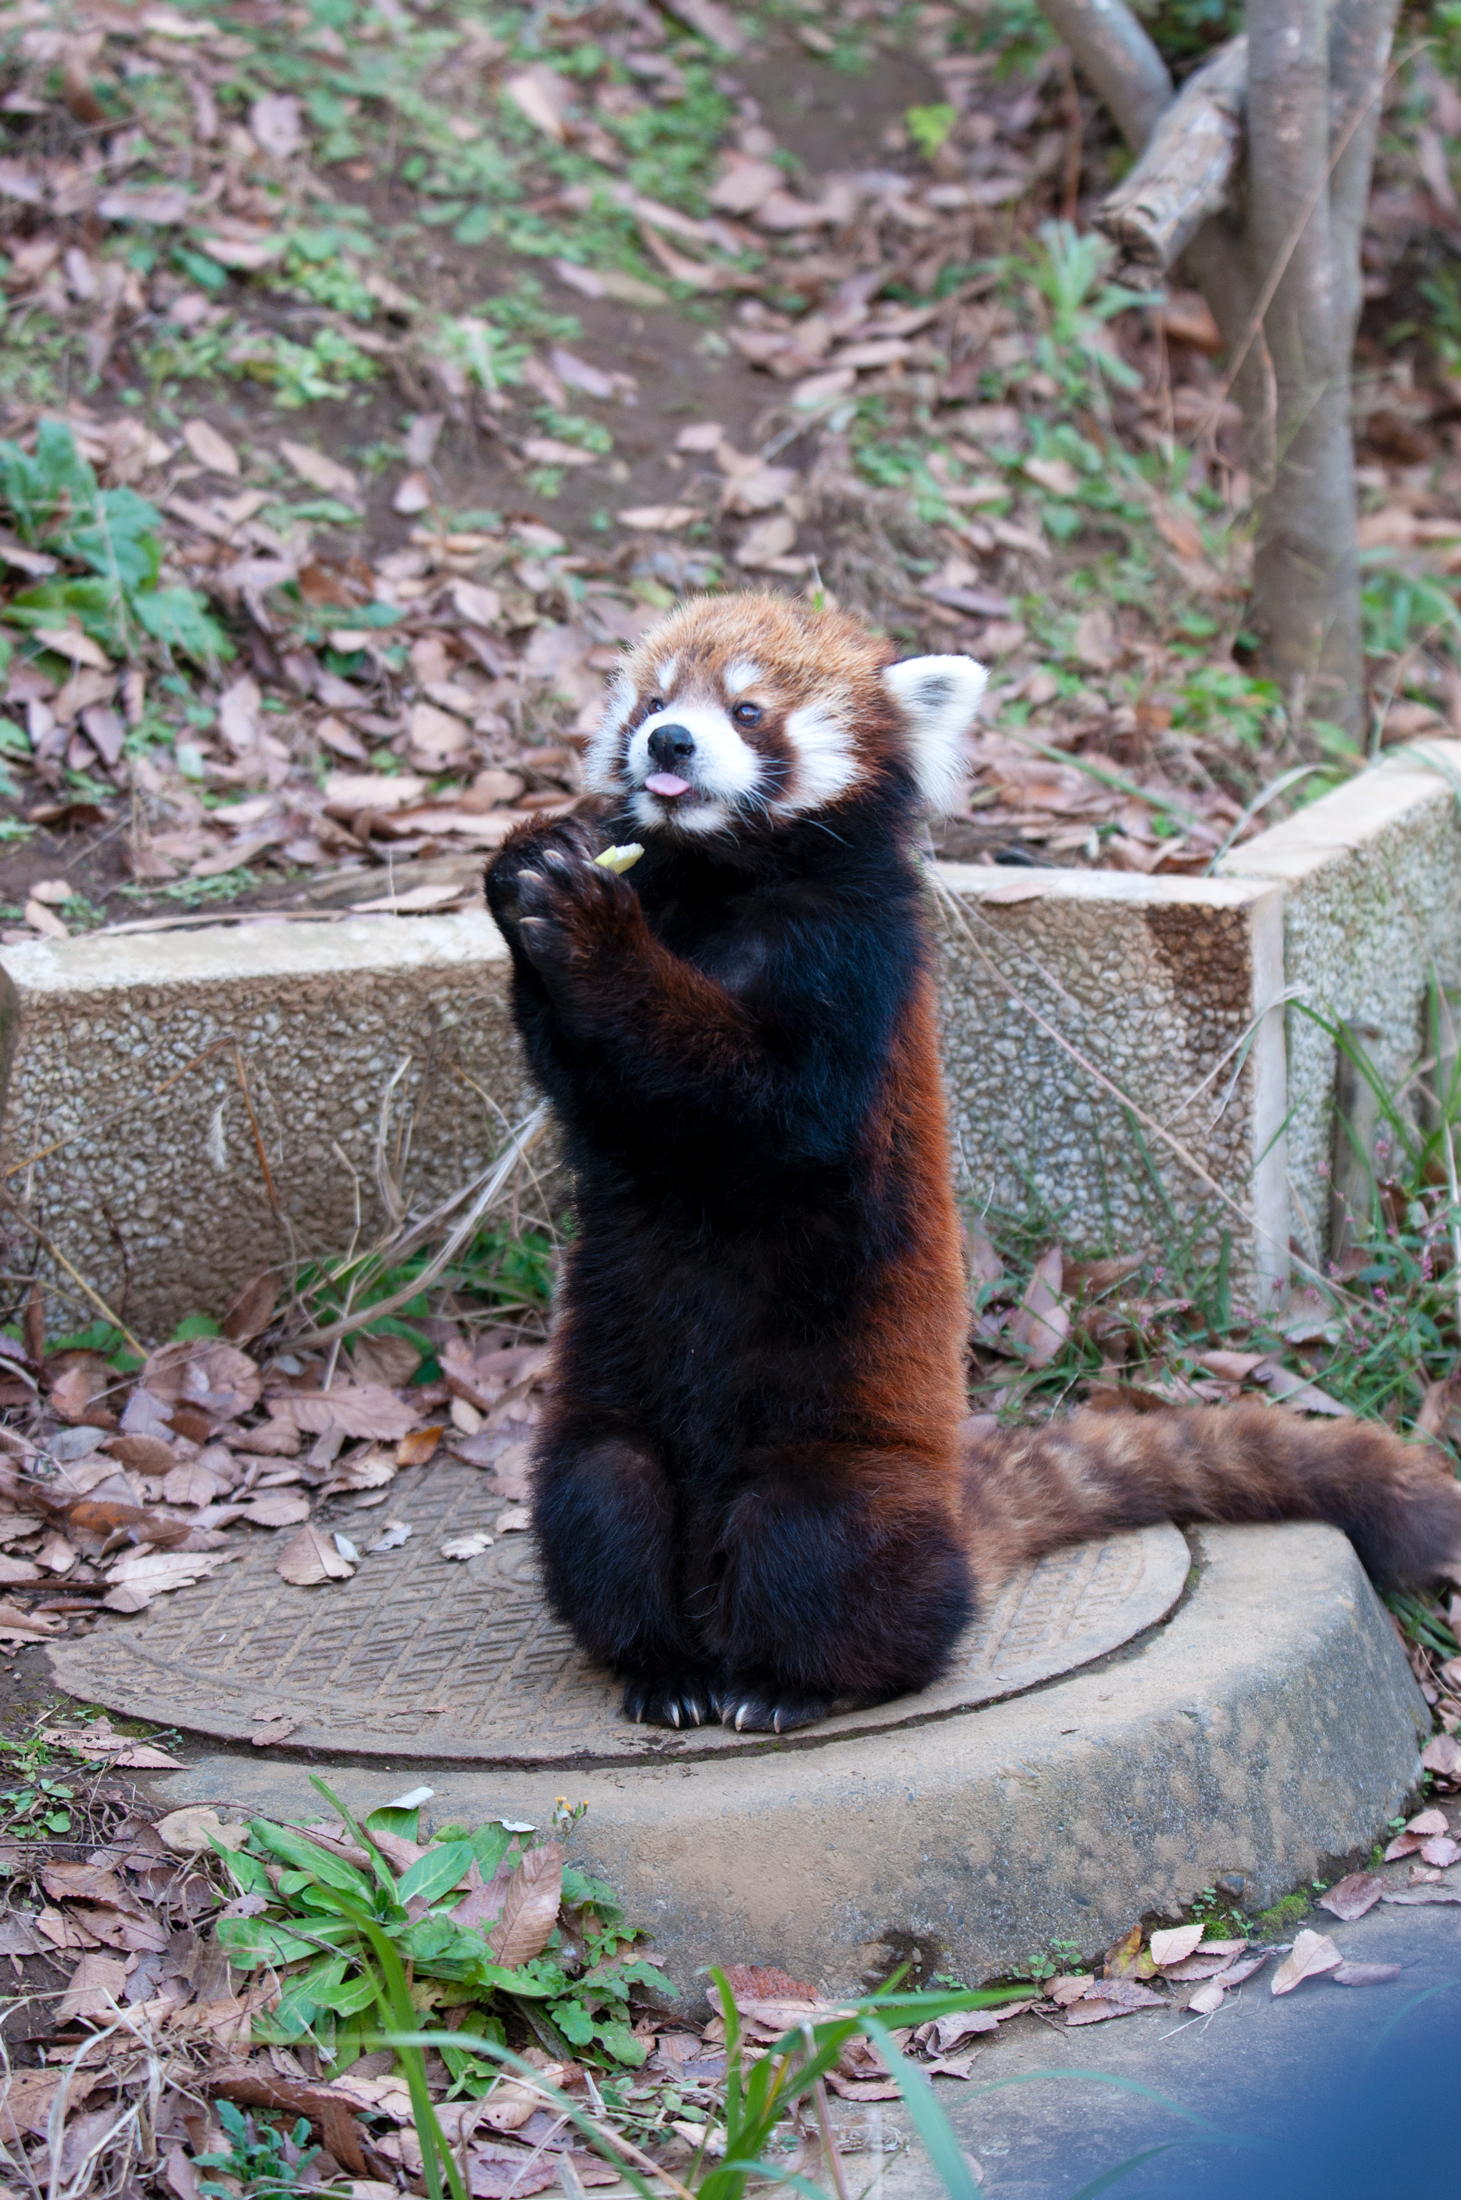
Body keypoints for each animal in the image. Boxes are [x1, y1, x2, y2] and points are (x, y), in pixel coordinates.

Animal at [488, 594, 1461, 1724]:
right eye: (651, 702)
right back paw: (665, 1669)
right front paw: (521, 870)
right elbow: (602, 1100)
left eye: (747, 709)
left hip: (844, 1467)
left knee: (821, 1550)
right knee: (603, 1504)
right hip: (606, 1434)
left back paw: (792, 1684)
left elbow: (769, 1111)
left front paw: (592, 927)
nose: (669, 744)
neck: (722, 884)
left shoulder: (855, 967)